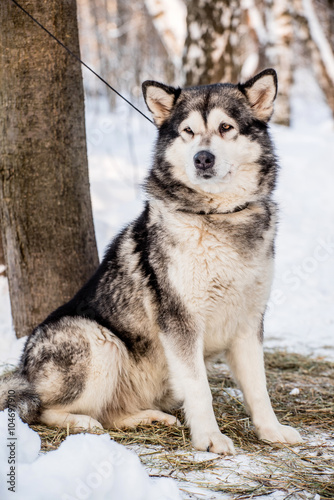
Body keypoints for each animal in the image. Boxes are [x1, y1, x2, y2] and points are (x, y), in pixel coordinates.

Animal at [0, 68, 302, 456]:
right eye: (188, 131)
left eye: (226, 128)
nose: (203, 158)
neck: (217, 217)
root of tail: (23, 369)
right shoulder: (181, 322)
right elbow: (200, 389)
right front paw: (209, 438)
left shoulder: (248, 323)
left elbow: (259, 389)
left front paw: (271, 430)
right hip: (99, 341)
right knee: (44, 409)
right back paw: (82, 422)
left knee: (113, 412)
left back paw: (147, 418)